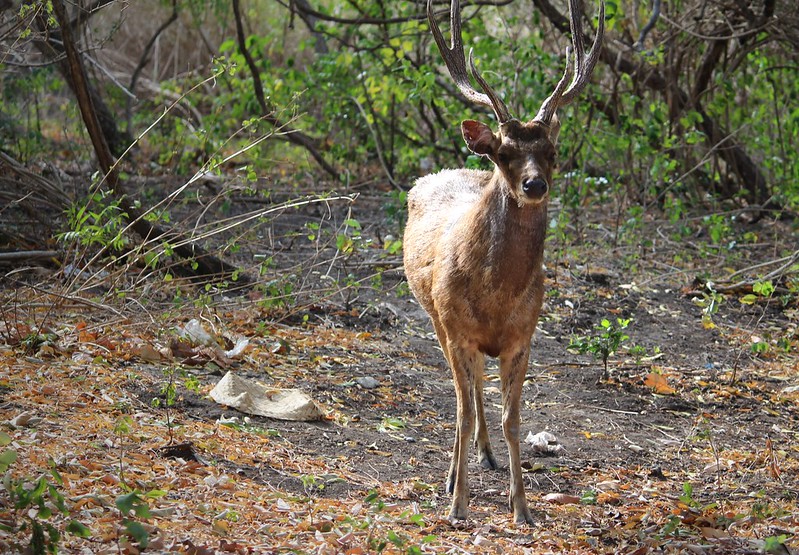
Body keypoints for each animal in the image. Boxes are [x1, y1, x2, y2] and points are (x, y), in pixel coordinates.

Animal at [404, 0, 604, 524]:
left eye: (552, 152)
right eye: (504, 152)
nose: (535, 185)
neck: (496, 295)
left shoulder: (523, 337)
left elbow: (512, 417)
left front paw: (522, 507)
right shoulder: (456, 328)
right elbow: (461, 409)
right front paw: (457, 504)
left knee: (477, 392)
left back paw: (485, 454)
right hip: (436, 319)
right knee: (465, 395)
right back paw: (457, 472)